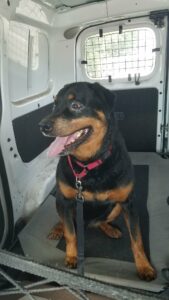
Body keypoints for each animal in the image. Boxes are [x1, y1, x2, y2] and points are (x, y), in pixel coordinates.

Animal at [39, 81, 156, 282]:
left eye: (76, 105)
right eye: (54, 105)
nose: (42, 126)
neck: (89, 164)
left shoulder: (129, 203)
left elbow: (137, 240)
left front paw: (144, 267)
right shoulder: (65, 200)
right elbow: (70, 234)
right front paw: (72, 256)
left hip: (116, 208)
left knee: (101, 221)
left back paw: (109, 229)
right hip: (60, 204)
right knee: (64, 220)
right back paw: (57, 228)